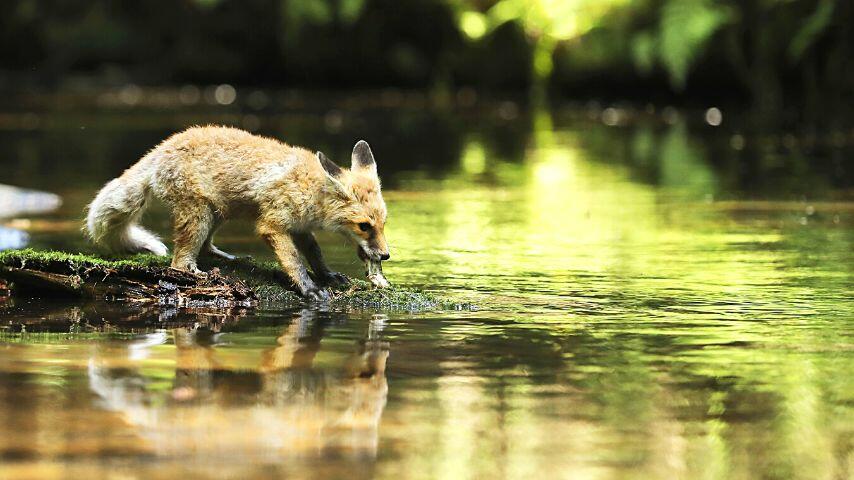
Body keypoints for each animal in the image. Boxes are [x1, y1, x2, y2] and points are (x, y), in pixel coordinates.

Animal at [86, 127, 388, 300]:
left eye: (384, 223)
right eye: (364, 226)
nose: (385, 256)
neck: (308, 188)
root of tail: (160, 148)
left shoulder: (300, 227)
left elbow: (315, 253)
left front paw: (326, 275)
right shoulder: (273, 225)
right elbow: (294, 261)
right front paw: (308, 287)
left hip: (218, 212)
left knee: (205, 247)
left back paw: (227, 257)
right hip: (198, 213)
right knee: (179, 262)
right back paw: (195, 273)